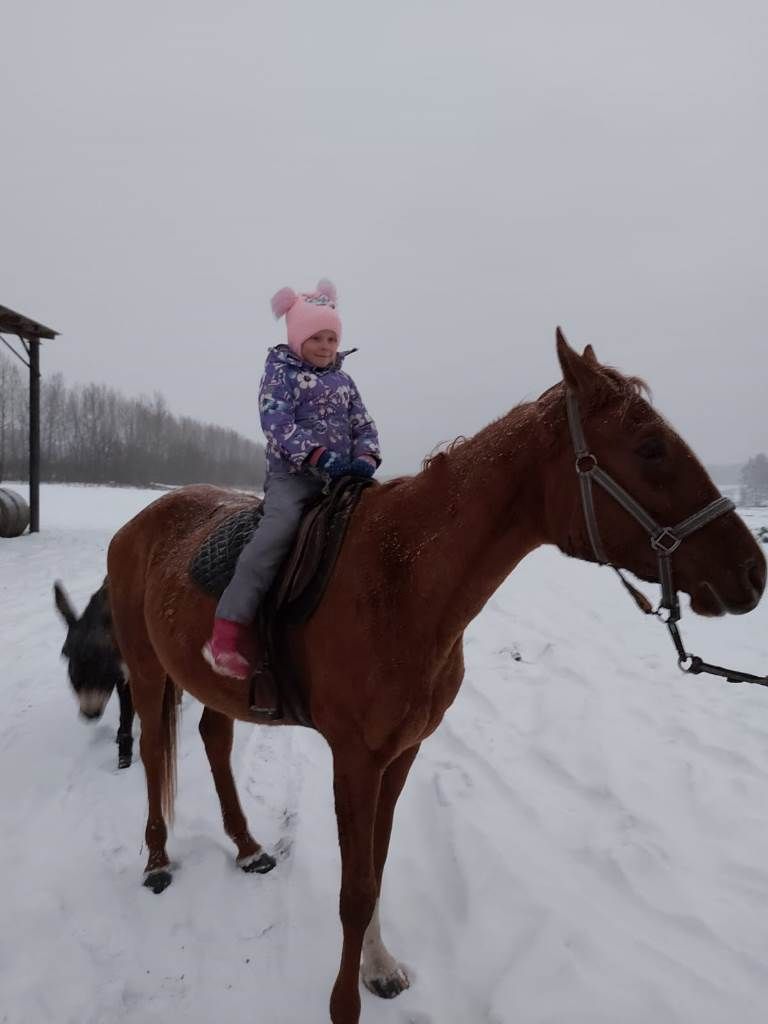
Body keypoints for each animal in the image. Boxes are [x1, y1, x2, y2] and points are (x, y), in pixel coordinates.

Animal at [107, 331, 765, 1019]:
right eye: (650, 448)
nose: (753, 572)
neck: (402, 579)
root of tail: (138, 524)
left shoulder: (401, 754)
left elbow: (375, 869)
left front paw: (379, 969)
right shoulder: (355, 759)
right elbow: (354, 890)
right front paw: (344, 1005)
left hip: (215, 688)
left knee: (214, 739)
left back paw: (248, 847)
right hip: (148, 673)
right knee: (153, 753)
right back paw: (157, 859)